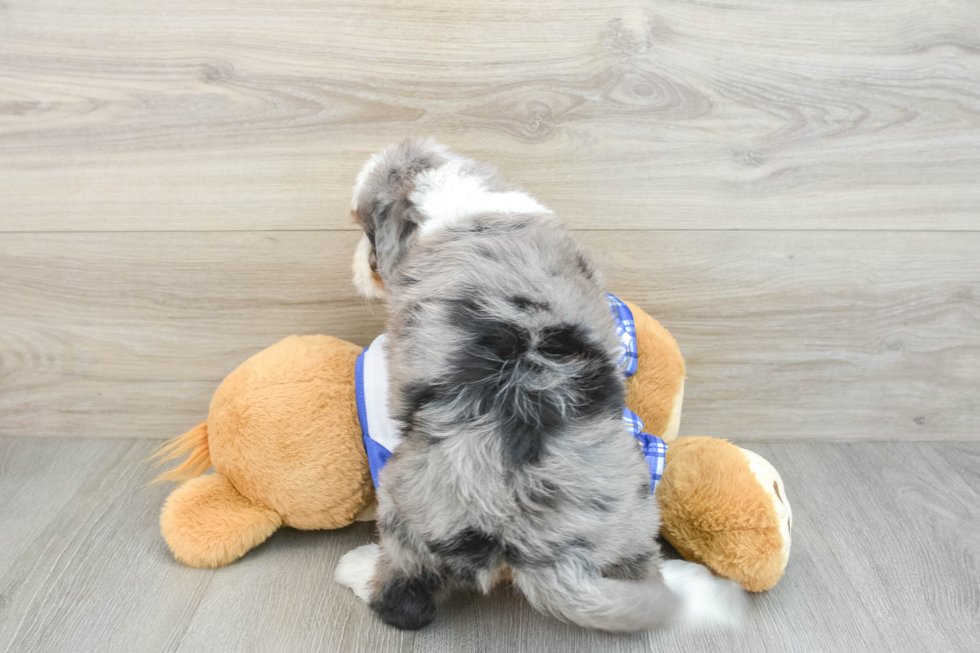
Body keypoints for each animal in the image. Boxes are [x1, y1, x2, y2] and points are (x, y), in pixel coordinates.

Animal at [336, 139, 744, 632]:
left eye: (366, 230)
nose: (362, 266)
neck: (453, 193)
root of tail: (536, 543)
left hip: (404, 509)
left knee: (403, 599)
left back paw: (357, 568)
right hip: (633, 512)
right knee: (641, 578)